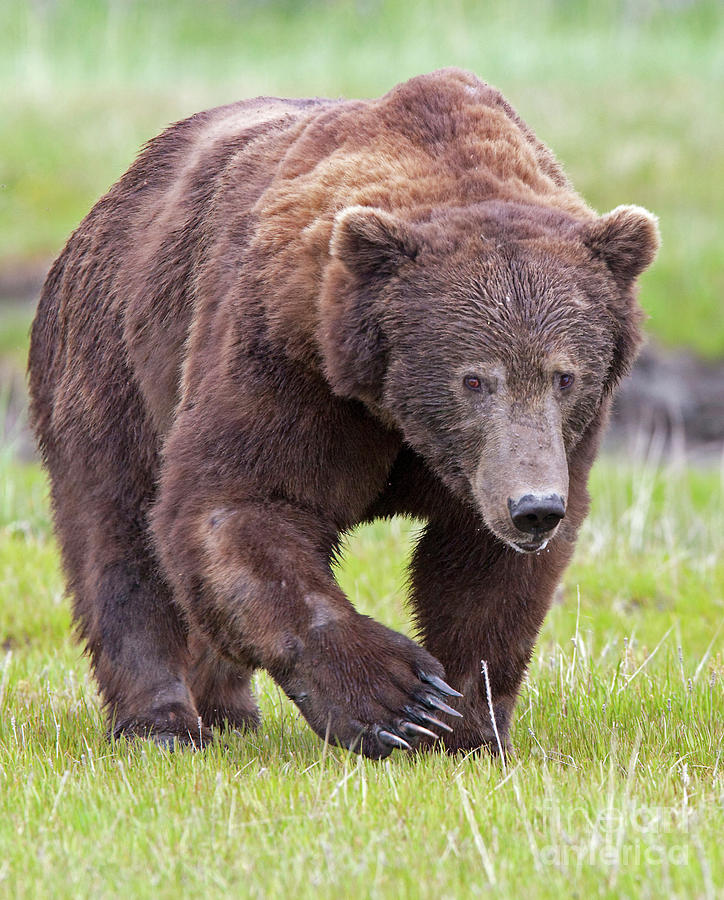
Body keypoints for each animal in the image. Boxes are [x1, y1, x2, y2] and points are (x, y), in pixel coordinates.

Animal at [28, 72, 660, 760]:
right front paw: (399, 700)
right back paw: (162, 723)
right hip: (114, 358)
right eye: (473, 378)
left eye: (564, 376)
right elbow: (236, 503)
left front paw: (469, 728)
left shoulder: (541, 452)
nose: (534, 507)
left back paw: (229, 710)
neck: (395, 412)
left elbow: (484, 577)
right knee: (118, 535)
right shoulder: (285, 359)